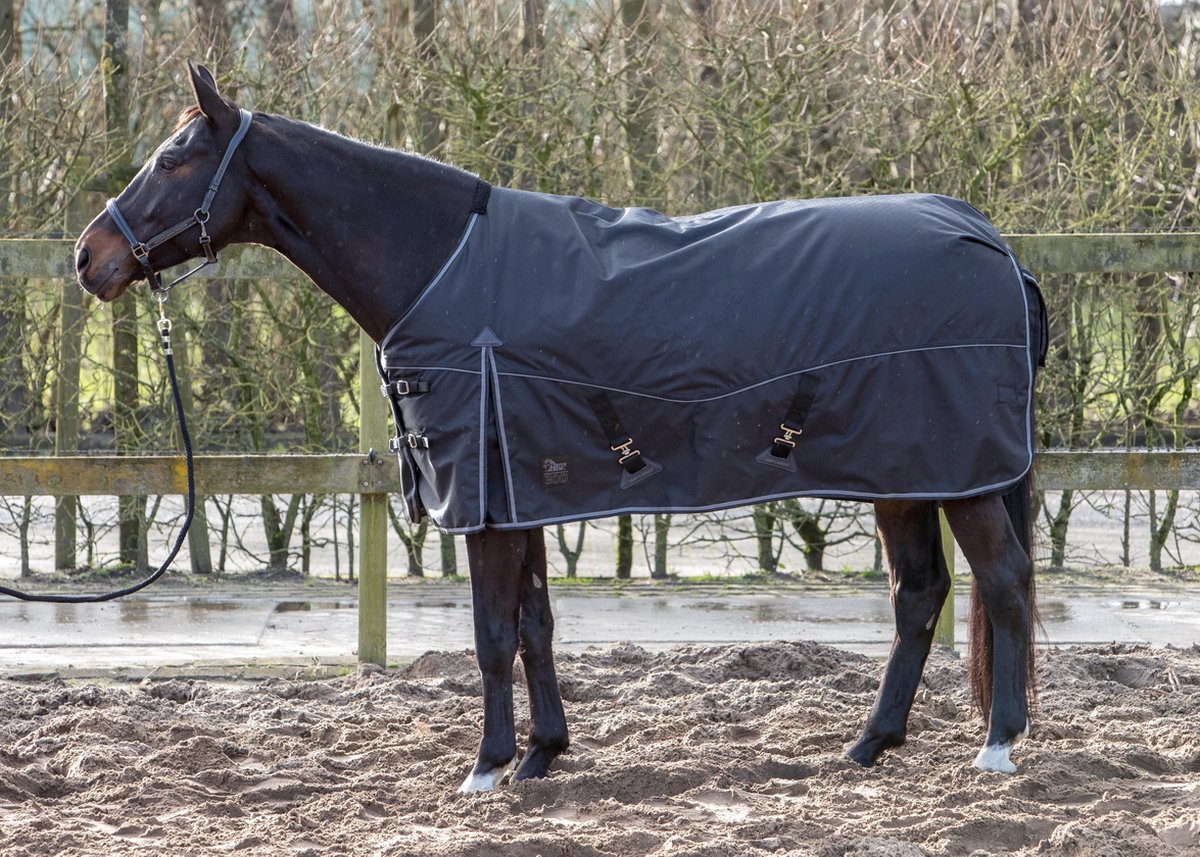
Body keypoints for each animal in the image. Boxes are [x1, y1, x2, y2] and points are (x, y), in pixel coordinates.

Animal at [75, 64, 1043, 791]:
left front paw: (487, 764)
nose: (90, 257)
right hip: (907, 475)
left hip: (963, 475)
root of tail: (992, 240)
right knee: (919, 594)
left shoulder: (487, 500)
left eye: (173, 157)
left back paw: (998, 745)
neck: (441, 268)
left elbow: (490, 633)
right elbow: (535, 623)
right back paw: (871, 741)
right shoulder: (523, 490)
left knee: (1002, 582)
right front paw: (543, 752)